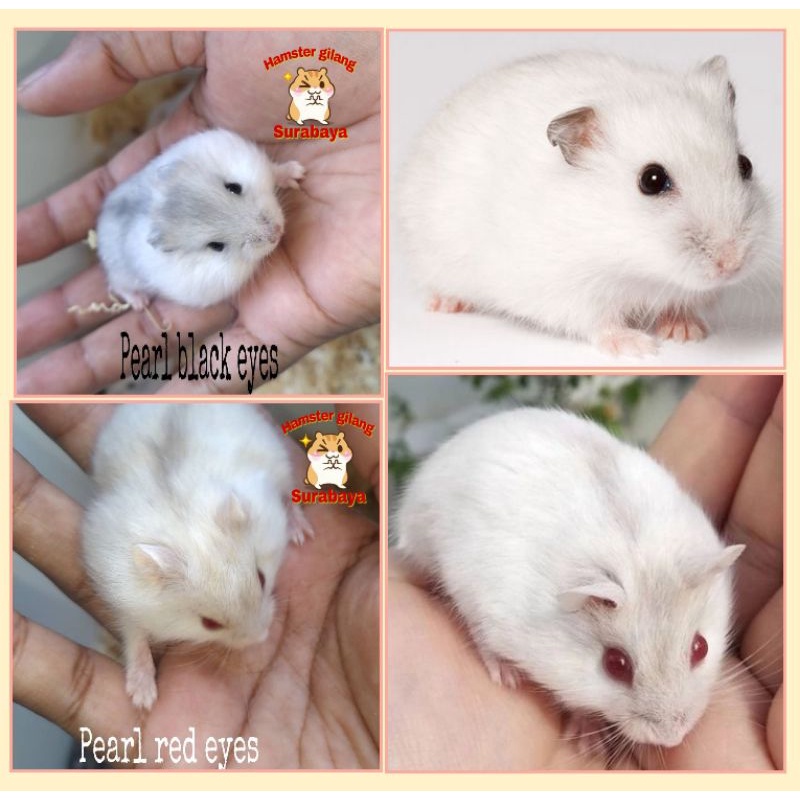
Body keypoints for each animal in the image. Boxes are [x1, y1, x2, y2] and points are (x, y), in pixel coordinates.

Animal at [81, 403, 313, 710]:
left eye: (263, 579)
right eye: (209, 624)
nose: (262, 637)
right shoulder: (125, 599)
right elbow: (134, 635)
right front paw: (143, 699)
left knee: (289, 496)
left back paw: (301, 533)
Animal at [96, 129, 305, 310]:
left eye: (234, 187)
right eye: (216, 246)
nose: (277, 232)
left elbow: (273, 170)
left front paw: (298, 173)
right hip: (122, 275)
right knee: (117, 286)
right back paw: (140, 303)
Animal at [394, 408, 744, 748]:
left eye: (701, 648)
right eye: (615, 664)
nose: (673, 738)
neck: (629, 556)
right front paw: (588, 741)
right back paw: (506, 676)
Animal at [396, 52, 772, 356]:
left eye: (745, 165)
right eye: (651, 180)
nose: (732, 264)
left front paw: (687, 333)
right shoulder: (566, 287)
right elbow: (598, 321)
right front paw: (638, 349)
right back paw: (446, 304)